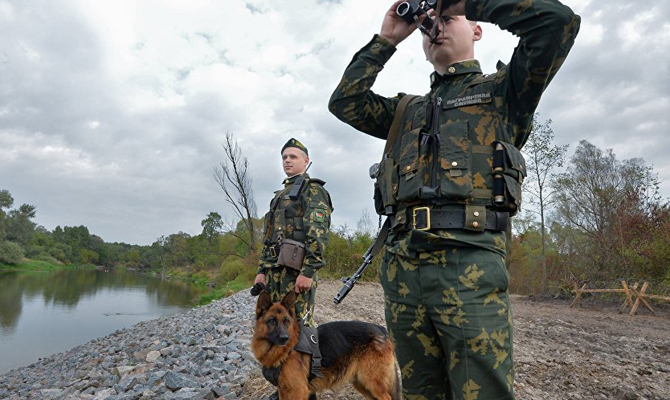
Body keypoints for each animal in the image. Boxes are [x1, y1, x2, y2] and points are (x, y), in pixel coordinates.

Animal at [251, 290, 400, 400]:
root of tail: (382, 329)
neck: (287, 351)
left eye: (286, 321)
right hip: (362, 383)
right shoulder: (284, 391)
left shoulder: (298, 391)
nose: (284, 338)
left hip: (372, 382)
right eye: (272, 321)